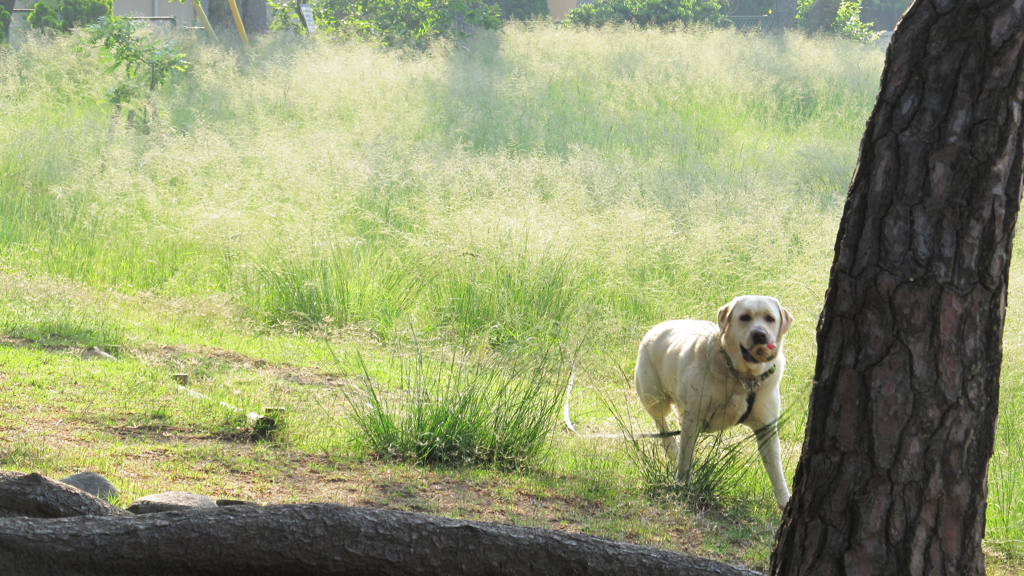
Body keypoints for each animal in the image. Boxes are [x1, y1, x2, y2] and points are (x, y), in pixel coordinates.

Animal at [634, 295, 794, 506]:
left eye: (770, 319)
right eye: (744, 317)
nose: (760, 335)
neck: (743, 378)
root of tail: (657, 327)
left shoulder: (766, 427)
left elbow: (776, 472)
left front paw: (785, 501)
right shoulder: (693, 419)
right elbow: (686, 459)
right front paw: (682, 485)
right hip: (654, 397)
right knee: (662, 426)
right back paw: (672, 450)